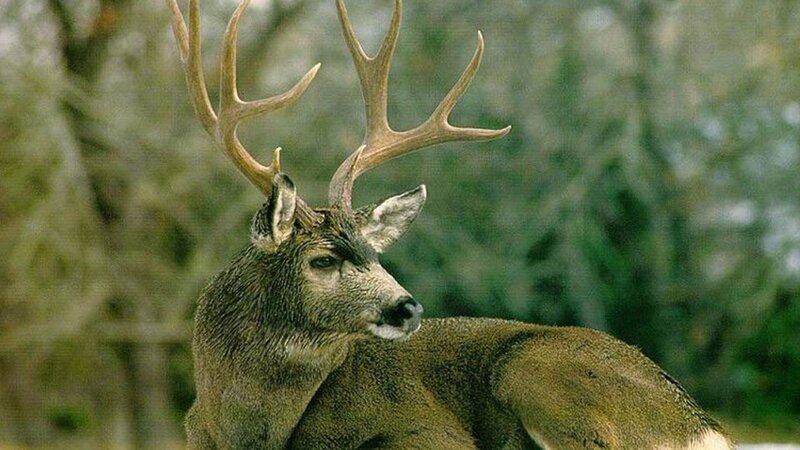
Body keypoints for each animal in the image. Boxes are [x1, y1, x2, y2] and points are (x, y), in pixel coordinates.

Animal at [166, 0, 735, 448]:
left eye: (374, 254)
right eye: (323, 259)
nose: (408, 307)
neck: (244, 429)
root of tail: (702, 426)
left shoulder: (427, 431)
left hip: (533, 369)